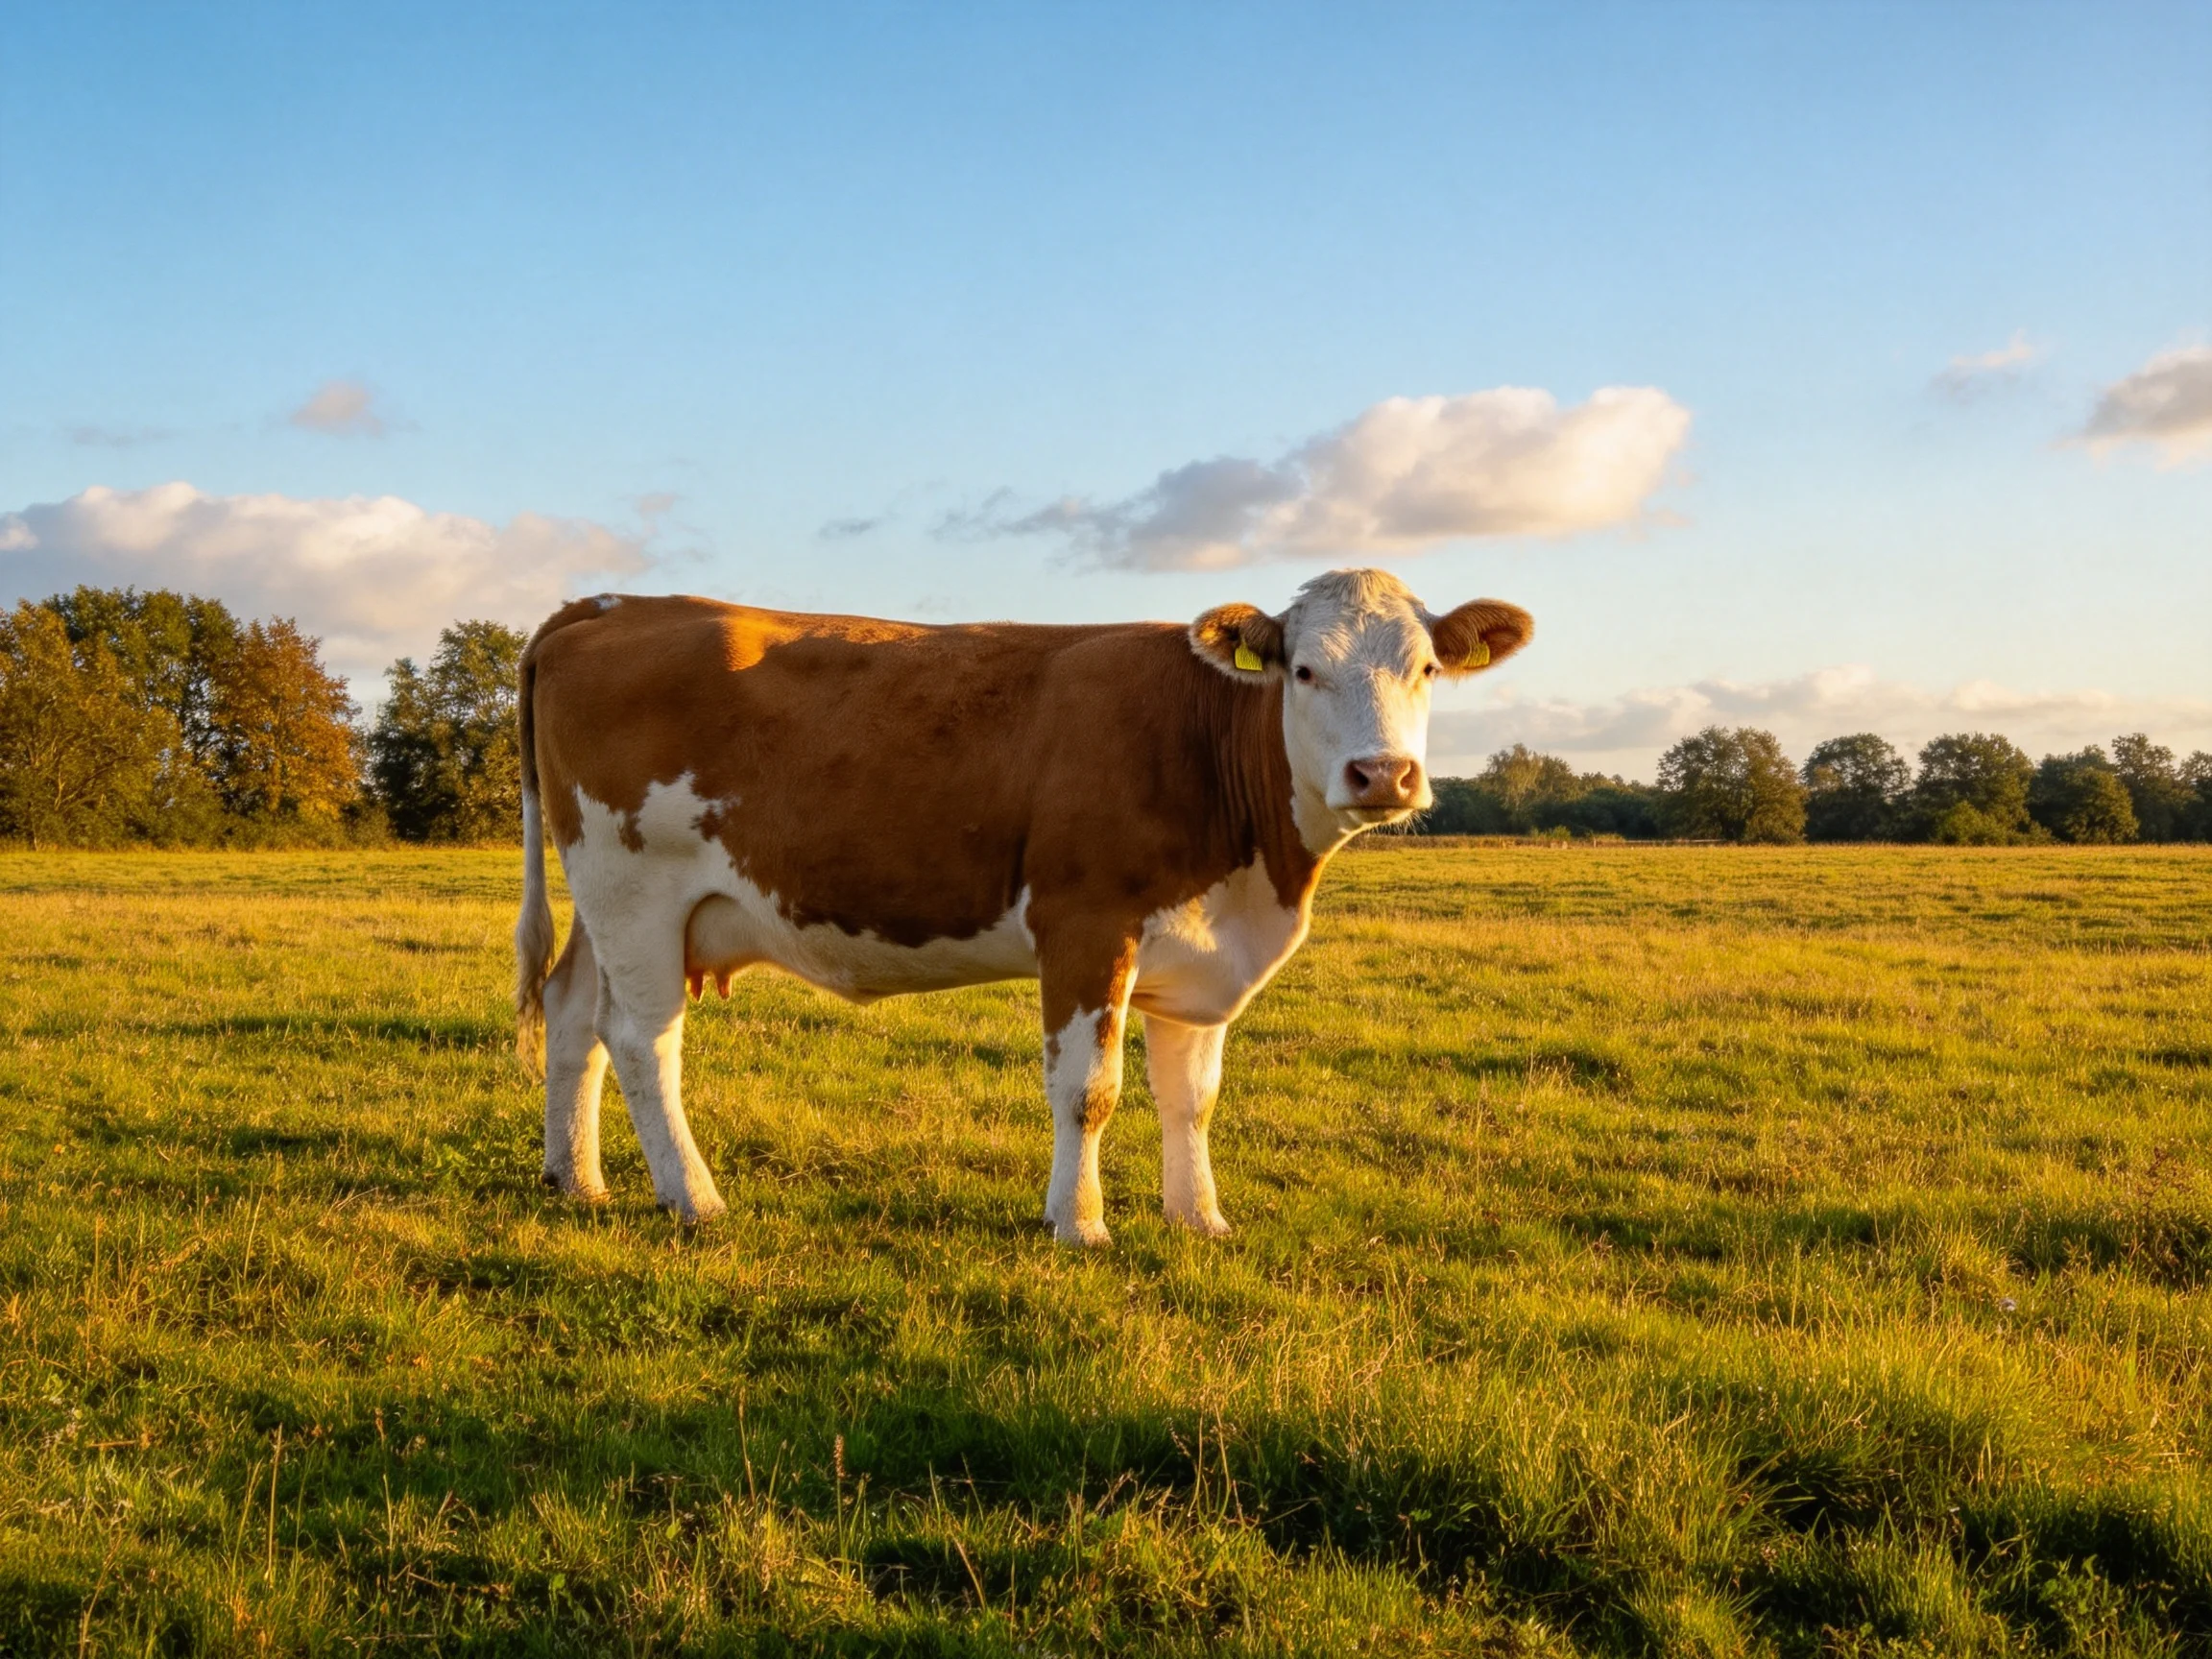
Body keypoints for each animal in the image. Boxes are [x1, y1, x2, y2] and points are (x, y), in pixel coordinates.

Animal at [513, 568, 1532, 1244]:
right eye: (1305, 670)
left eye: (1426, 670)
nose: (1383, 775)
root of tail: (610, 605)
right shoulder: (1086, 925)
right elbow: (1089, 1090)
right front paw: (1079, 1226)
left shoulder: (1200, 955)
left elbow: (1192, 1097)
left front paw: (1199, 1220)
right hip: (635, 887)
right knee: (642, 1039)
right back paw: (694, 1197)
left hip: (606, 904)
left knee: (572, 1015)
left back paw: (577, 1180)